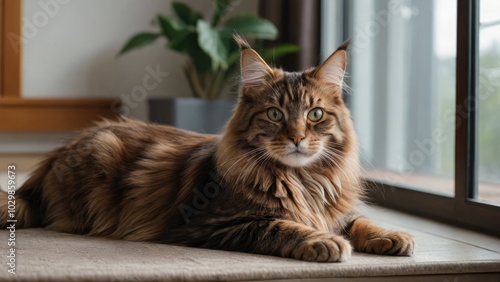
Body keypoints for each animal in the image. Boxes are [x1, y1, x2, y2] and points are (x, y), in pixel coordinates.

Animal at [0, 36, 414, 262]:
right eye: (275, 114)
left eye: (314, 115)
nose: (297, 137)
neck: (302, 180)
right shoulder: (215, 223)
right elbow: (283, 225)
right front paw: (324, 242)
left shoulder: (333, 209)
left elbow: (358, 220)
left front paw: (393, 236)